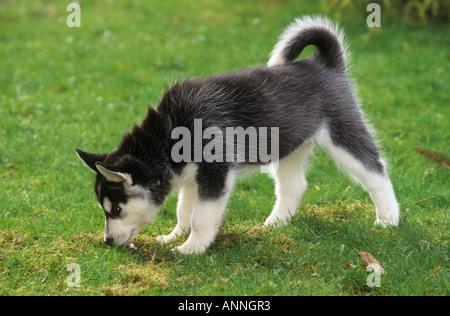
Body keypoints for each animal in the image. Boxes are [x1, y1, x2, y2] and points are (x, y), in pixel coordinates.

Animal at [75, 16, 400, 254]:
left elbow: (201, 217)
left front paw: (190, 249)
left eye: (116, 208)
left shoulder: (215, 172)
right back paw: (274, 225)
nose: (107, 242)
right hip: (289, 145)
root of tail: (323, 62)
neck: (169, 134)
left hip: (342, 132)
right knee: (293, 186)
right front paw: (173, 236)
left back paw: (388, 219)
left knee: (376, 171)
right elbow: (183, 211)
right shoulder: (192, 177)